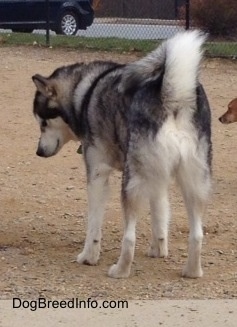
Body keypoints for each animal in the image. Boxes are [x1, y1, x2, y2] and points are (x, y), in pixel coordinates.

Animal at [32, 30, 212, 280]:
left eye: (42, 123)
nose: (38, 152)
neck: (84, 94)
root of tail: (172, 94)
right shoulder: (158, 178)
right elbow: (159, 216)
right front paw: (158, 249)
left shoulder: (97, 175)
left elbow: (93, 225)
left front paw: (88, 257)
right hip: (193, 182)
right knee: (197, 234)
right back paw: (192, 271)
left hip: (131, 183)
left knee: (129, 237)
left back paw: (120, 269)